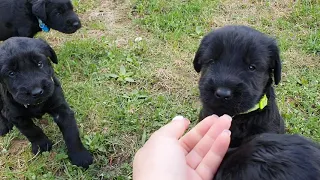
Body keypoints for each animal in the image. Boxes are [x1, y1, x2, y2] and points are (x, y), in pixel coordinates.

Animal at [0, 37, 92, 168]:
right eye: (11, 73)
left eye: (40, 64)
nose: (37, 92)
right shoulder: (17, 117)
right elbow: (32, 130)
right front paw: (41, 145)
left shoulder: (61, 109)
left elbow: (72, 133)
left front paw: (80, 156)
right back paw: (3, 125)